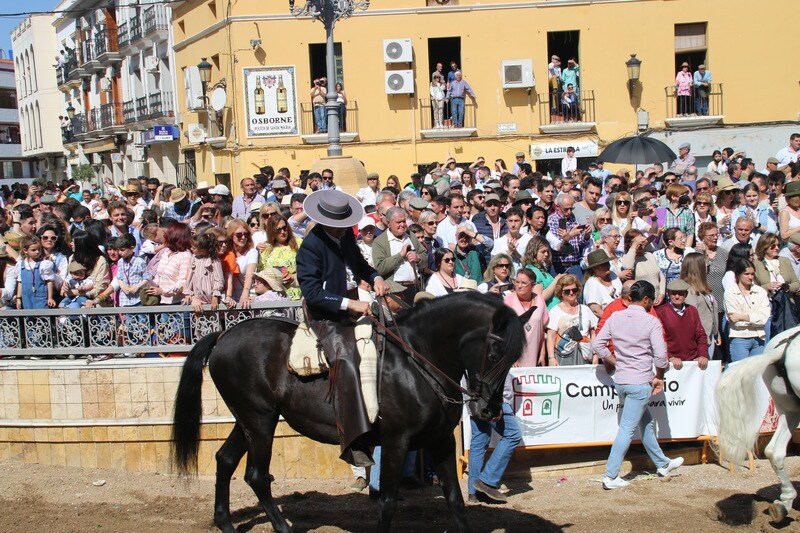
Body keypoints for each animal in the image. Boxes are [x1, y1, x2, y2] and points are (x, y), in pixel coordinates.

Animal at [171, 294, 532, 528]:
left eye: (514, 356)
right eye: (495, 351)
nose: (489, 410)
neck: (416, 362)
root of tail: (223, 335)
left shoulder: (441, 441)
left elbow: (456, 501)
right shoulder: (396, 442)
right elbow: (387, 504)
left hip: (250, 420)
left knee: (225, 460)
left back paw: (225, 522)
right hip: (260, 423)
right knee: (257, 476)